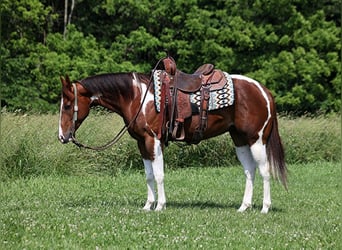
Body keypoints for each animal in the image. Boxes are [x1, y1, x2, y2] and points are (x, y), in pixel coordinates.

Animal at [58, 66, 286, 213]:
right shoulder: (142, 143)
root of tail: (264, 91)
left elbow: (159, 175)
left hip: (257, 140)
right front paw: (148, 205)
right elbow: (149, 176)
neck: (137, 96)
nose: (62, 136)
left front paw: (160, 206)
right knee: (250, 172)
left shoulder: (153, 141)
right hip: (240, 140)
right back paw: (243, 207)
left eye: (68, 105)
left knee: (265, 171)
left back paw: (265, 208)